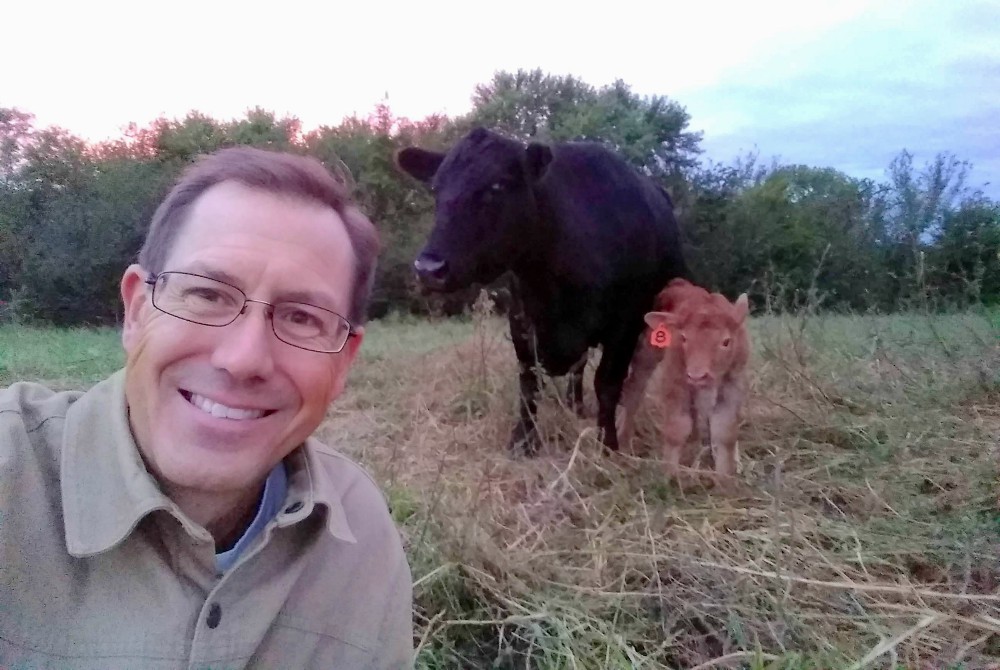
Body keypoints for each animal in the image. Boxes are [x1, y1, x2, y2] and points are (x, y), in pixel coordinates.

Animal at [396, 127, 688, 452]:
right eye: (436, 187)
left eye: (497, 185)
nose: (428, 268)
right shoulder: (522, 319)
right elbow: (529, 381)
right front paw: (522, 440)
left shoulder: (625, 323)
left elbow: (608, 384)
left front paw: (607, 444)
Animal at [616, 280, 752, 488]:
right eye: (684, 338)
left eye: (726, 341)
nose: (697, 376)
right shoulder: (675, 381)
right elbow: (676, 430)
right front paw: (669, 476)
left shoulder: (733, 385)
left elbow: (724, 431)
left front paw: (724, 480)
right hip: (644, 357)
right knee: (633, 391)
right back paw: (623, 442)